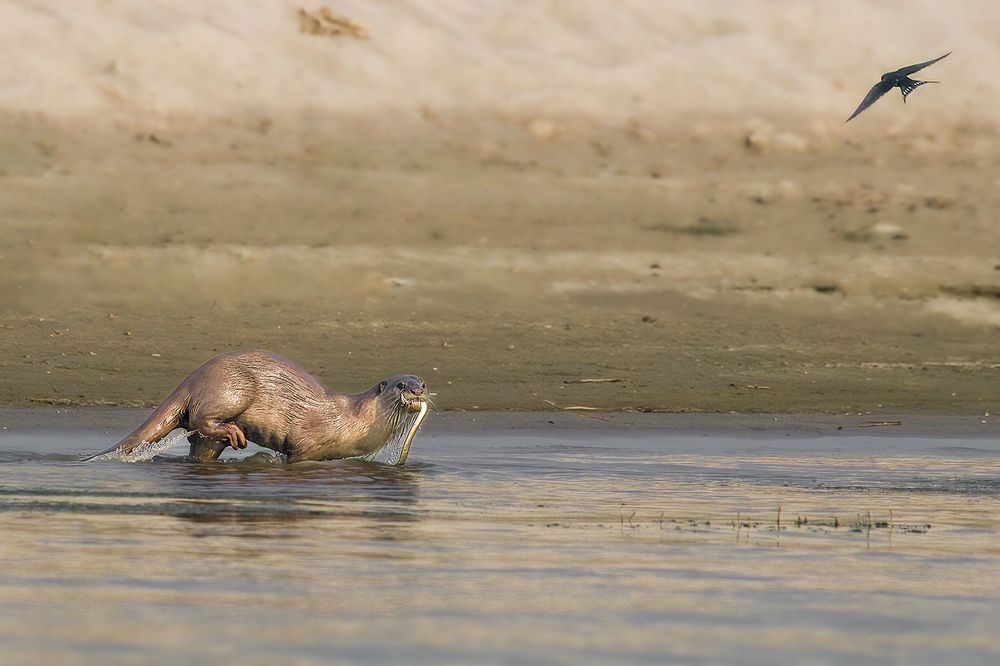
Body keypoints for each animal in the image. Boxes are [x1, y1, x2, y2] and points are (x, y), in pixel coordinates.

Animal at [92, 351, 428, 463]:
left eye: (422, 382)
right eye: (400, 385)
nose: (417, 390)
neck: (351, 419)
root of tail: (192, 377)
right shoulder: (306, 445)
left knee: (201, 442)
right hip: (232, 389)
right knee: (201, 417)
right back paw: (233, 432)